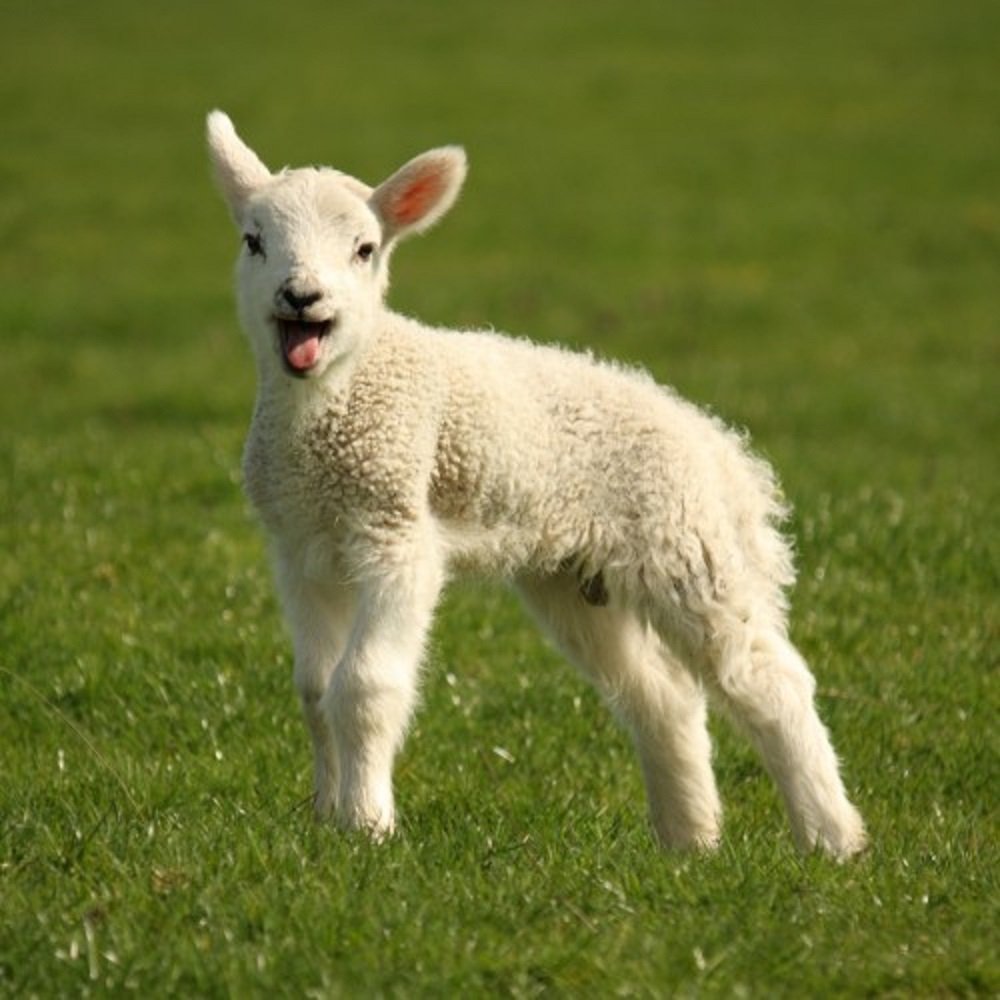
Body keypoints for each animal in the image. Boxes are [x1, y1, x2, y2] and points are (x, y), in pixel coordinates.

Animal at [205, 110, 866, 859]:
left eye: (365, 249)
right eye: (253, 241)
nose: (302, 297)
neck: (331, 409)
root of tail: (716, 445)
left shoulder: (397, 531)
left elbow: (366, 687)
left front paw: (367, 825)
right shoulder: (300, 544)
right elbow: (316, 691)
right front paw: (325, 817)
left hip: (686, 543)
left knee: (767, 678)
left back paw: (832, 839)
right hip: (575, 578)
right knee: (663, 697)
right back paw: (689, 840)